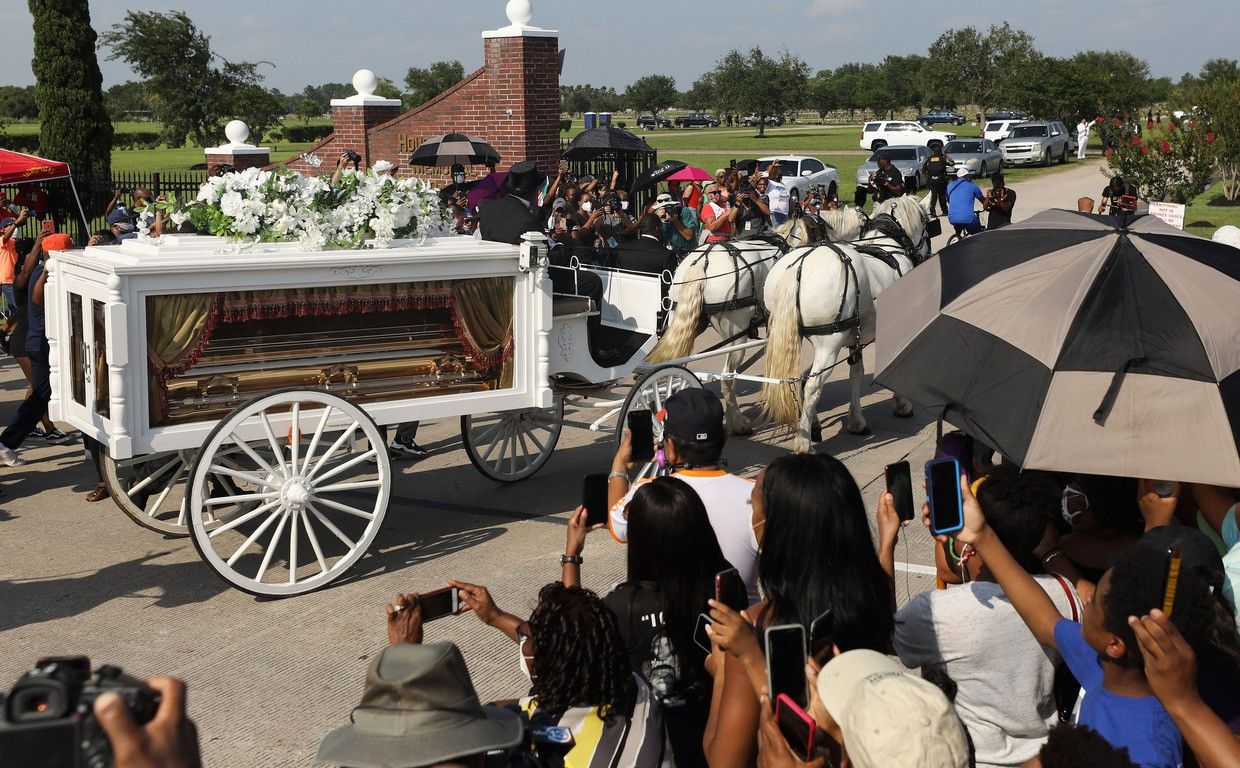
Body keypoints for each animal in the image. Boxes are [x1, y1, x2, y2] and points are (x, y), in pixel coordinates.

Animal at [649, 219, 813, 436]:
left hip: (682, 321)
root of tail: (703, 261)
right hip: (736, 334)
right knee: (727, 377)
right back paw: (737, 423)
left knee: (677, 367)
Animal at [753, 194, 932, 454]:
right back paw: (803, 443)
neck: (889, 246)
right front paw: (902, 404)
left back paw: (811, 426)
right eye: (928, 225)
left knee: (799, 379)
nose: (927, 255)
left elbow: (856, 373)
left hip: (792, 337)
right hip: (829, 343)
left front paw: (856, 421)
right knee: (812, 385)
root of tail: (797, 267)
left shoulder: (854, 336)